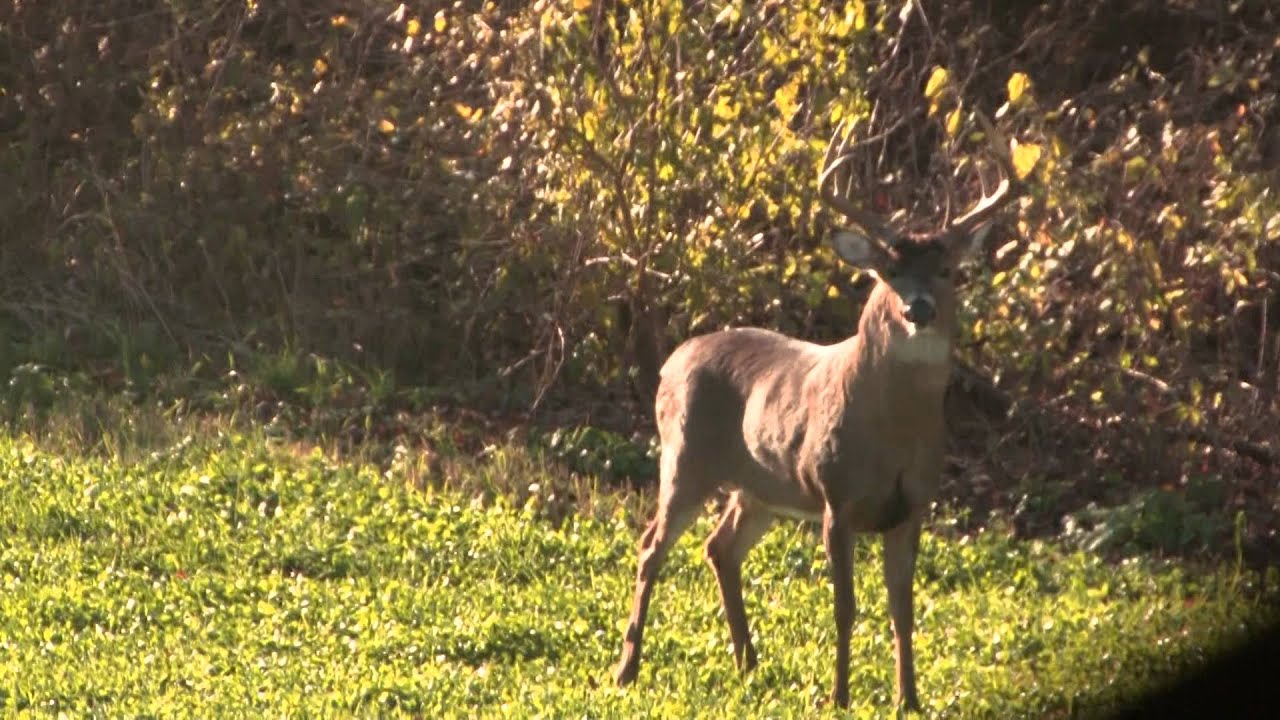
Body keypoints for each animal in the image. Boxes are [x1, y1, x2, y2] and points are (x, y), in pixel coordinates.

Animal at [612, 114, 1023, 711]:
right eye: (887, 273)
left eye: (948, 270)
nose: (917, 308)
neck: (894, 434)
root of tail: (672, 361)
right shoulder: (836, 496)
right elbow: (845, 607)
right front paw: (839, 696)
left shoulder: (913, 504)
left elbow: (903, 609)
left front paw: (909, 700)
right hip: (685, 458)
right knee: (650, 548)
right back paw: (628, 669)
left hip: (760, 489)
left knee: (720, 548)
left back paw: (748, 663)